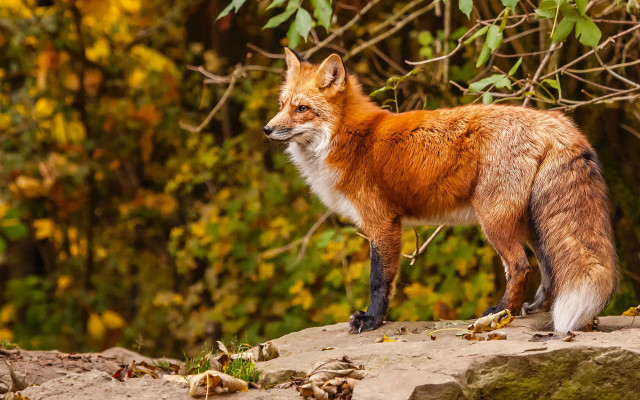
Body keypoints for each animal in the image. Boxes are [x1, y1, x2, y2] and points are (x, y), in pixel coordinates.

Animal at [264, 48, 618, 334]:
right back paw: (532, 308)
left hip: (494, 219)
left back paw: (500, 313)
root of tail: (553, 119)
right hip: (532, 222)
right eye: (282, 105)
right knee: (547, 269)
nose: (267, 129)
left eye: (302, 109)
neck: (348, 138)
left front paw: (371, 320)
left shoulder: (383, 223)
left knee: (521, 266)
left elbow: (379, 280)